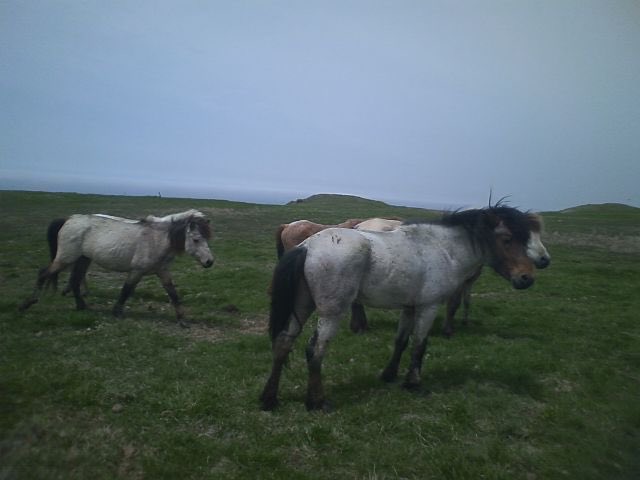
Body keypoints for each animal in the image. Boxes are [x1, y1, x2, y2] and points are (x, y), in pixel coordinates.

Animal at [19, 210, 214, 327]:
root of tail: (69, 219)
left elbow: (173, 294)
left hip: (83, 259)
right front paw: (117, 312)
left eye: (206, 238)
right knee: (44, 273)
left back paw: (82, 306)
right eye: (196, 239)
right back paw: (27, 304)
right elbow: (126, 290)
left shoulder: (162, 271)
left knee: (75, 280)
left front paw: (182, 320)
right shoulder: (136, 271)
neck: (156, 239)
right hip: (66, 258)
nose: (209, 261)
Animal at [260, 205, 541, 411]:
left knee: (283, 343)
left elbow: (401, 342)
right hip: (331, 313)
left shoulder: (409, 307)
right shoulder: (428, 307)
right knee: (315, 351)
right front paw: (413, 382)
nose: (527, 278)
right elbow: (419, 345)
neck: (443, 248)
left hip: (302, 306)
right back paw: (316, 401)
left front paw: (389, 374)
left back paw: (269, 399)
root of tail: (307, 246)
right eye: (507, 239)